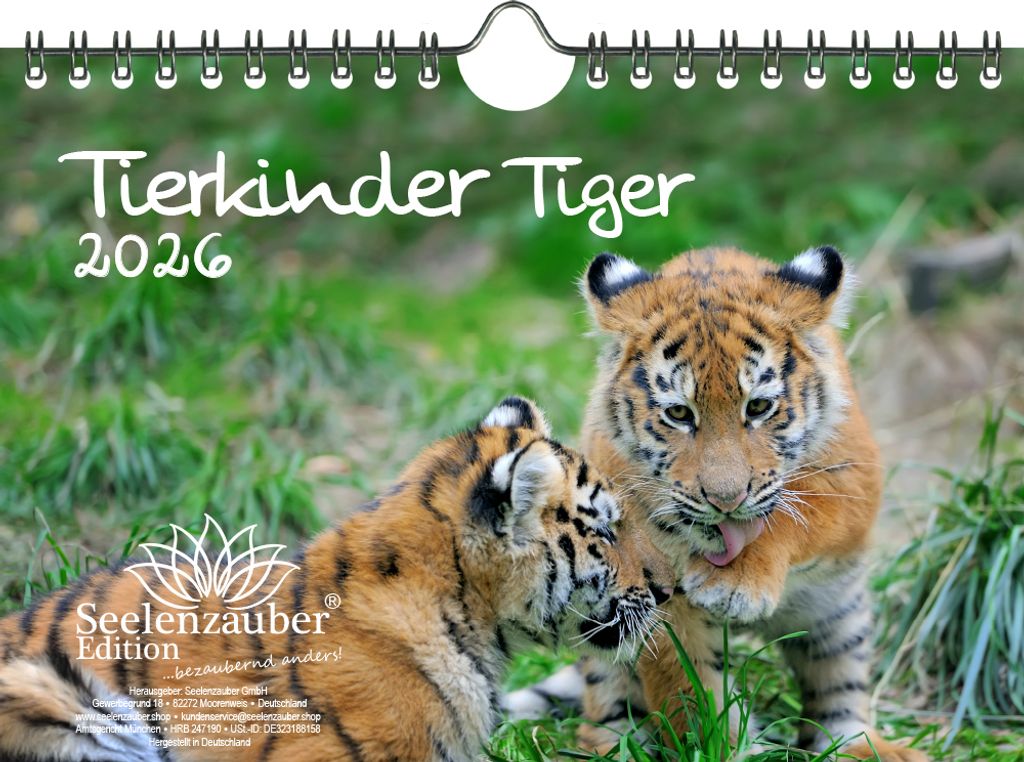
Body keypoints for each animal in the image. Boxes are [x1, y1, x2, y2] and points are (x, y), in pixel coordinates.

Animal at [507, 248, 927, 761]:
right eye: (678, 413)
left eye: (759, 407)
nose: (726, 500)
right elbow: (686, 687)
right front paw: (714, 745)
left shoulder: (853, 482)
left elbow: (796, 515)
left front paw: (736, 583)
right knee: (605, 700)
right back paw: (613, 743)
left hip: (840, 617)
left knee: (838, 695)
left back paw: (864, 747)